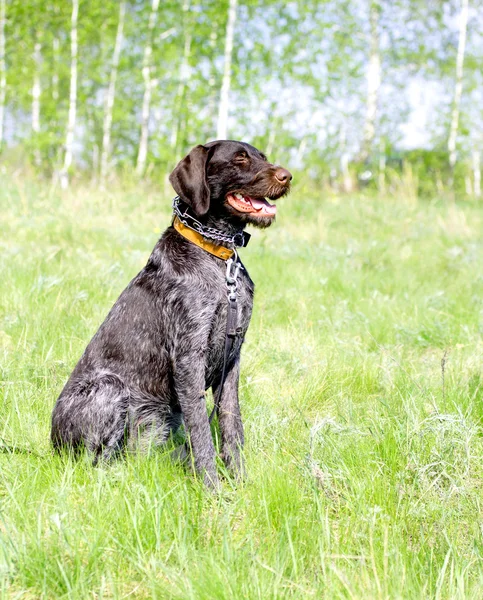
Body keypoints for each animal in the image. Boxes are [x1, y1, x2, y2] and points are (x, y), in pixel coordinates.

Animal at [50, 142, 292, 488]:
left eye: (262, 156)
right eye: (240, 158)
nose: (288, 176)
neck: (217, 257)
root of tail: (50, 445)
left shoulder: (231, 358)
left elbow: (232, 424)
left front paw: (240, 482)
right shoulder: (189, 356)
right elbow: (201, 431)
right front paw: (213, 488)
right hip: (109, 387)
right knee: (93, 462)